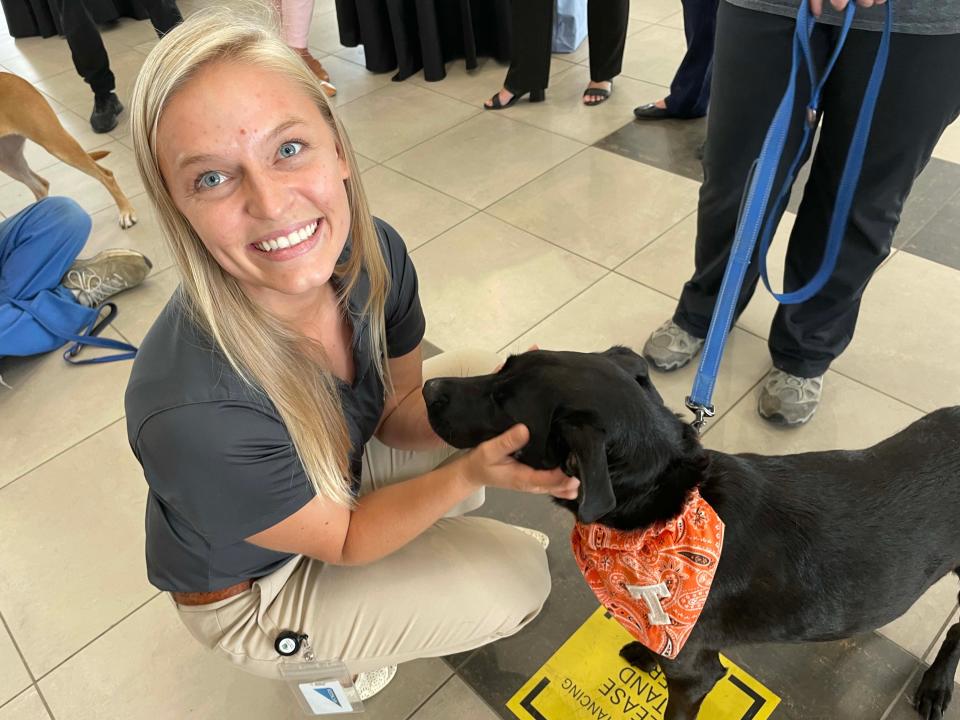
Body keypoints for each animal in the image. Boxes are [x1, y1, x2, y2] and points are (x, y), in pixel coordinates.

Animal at [0, 71, 137, 226]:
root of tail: (18, 78)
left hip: (55, 142)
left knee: (105, 175)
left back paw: (126, 211)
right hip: (8, 159)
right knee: (40, 186)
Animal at [426, 348, 960, 720]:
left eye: (502, 404)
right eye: (501, 368)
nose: (427, 386)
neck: (669, 504)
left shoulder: (695, 673)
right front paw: (645, 651)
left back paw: (936, 686)